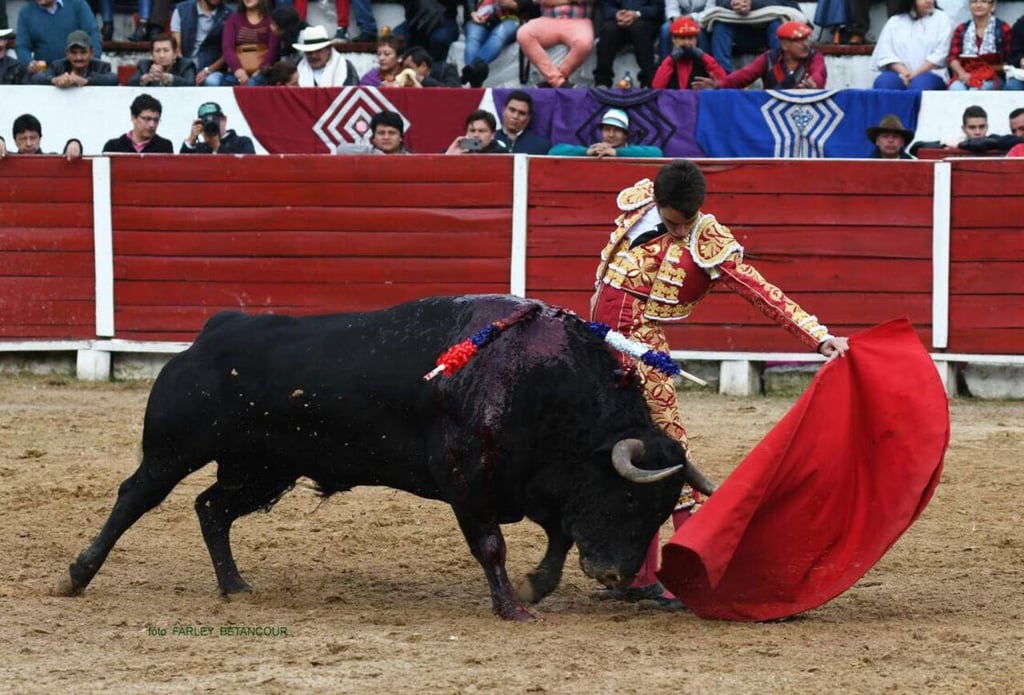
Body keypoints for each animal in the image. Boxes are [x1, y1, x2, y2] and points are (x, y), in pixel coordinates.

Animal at [56, 292, 712, 618]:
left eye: (661, 512)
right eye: (628, 500)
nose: (617, 575)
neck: (543, 381)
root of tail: (214, 332)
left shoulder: (535, 484)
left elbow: (558, 536)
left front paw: (534, 589)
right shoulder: (468, 483)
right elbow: (493, 545)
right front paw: (511, 608)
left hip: (264, 469)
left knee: (211, 509)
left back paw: (236, 586)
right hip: (175, 449)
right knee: (135, 497)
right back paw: (77, 574)